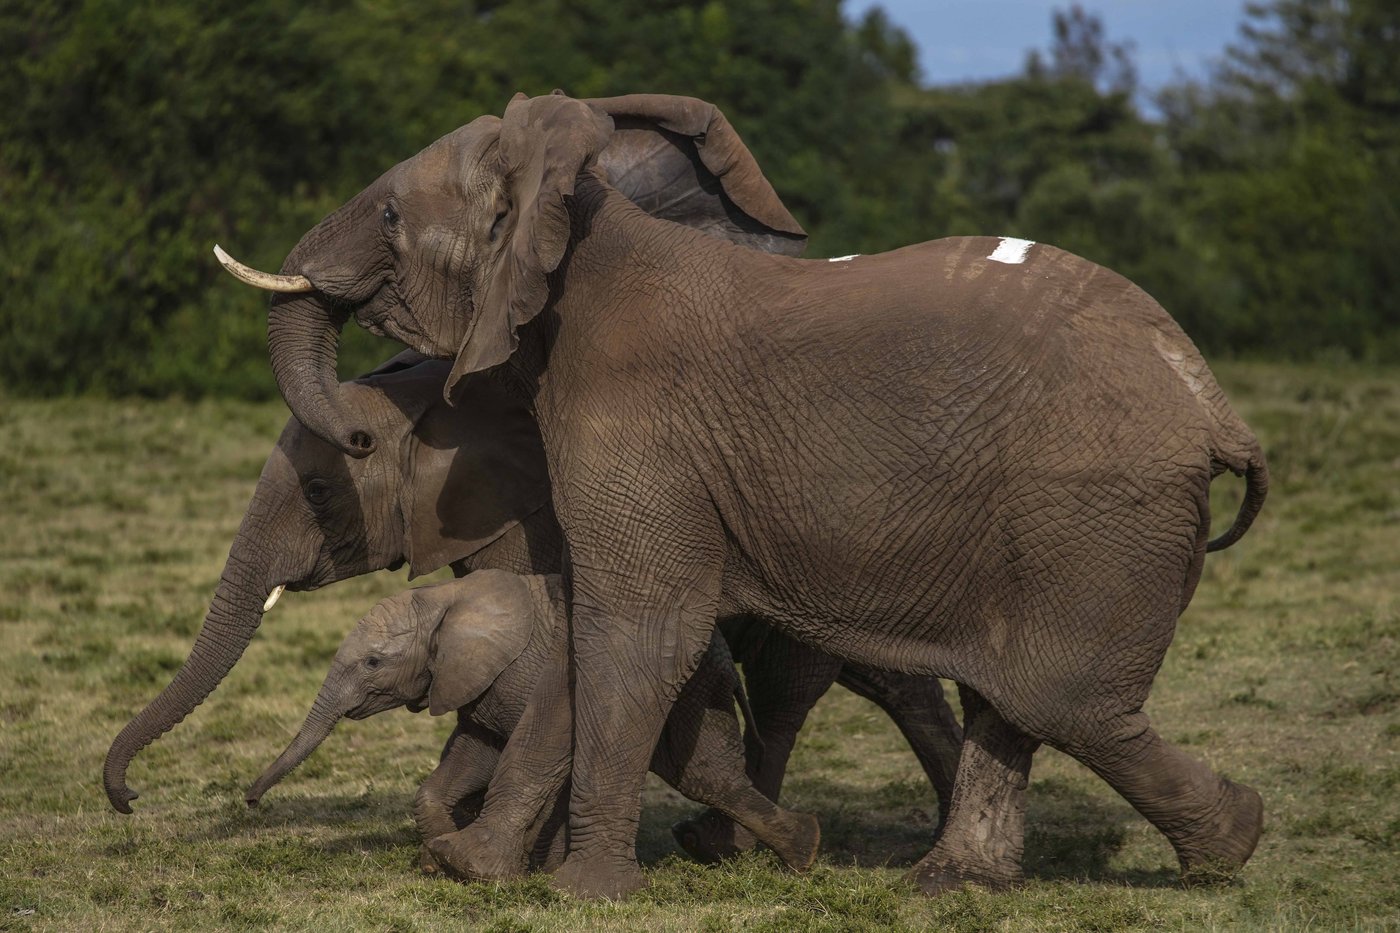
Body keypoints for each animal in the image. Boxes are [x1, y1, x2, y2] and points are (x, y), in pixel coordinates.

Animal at [245, 571, 822, 874]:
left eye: (372, 663)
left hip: (693, 692)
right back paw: (801, 848)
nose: (249, 802)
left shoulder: (518, 670)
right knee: (708, 776)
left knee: (698, 773)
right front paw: (438, 860)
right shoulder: (478, 683)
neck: (443, 598)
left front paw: (471, 864)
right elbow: (474, 752)